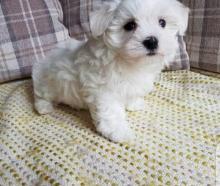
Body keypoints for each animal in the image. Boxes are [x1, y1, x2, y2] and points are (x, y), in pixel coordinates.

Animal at [32, 0, 189, 142]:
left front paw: (134, 103)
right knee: (40, 96)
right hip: (46, 83)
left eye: (162, 22)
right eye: (130, 25)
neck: (128, 61)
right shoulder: (102, 90)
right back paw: (44, 107)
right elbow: (111, 112)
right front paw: (120, 132)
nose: (151, 41)